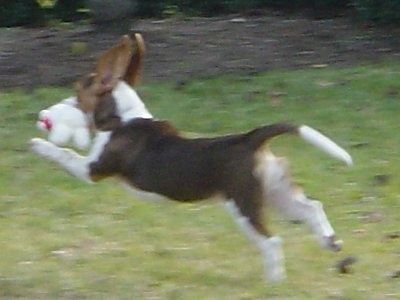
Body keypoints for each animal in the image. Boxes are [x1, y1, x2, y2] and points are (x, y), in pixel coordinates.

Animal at [29, 33, 352, 282]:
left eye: (77, 91)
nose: (50, 112)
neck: (123, 119)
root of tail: (250, 139)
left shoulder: (91, 169)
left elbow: (65, 154)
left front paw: (37, 144)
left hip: (244, 204)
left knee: (272, 241)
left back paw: (274, 282)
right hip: (275, 192)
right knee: (312, 207)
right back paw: (331, 241)